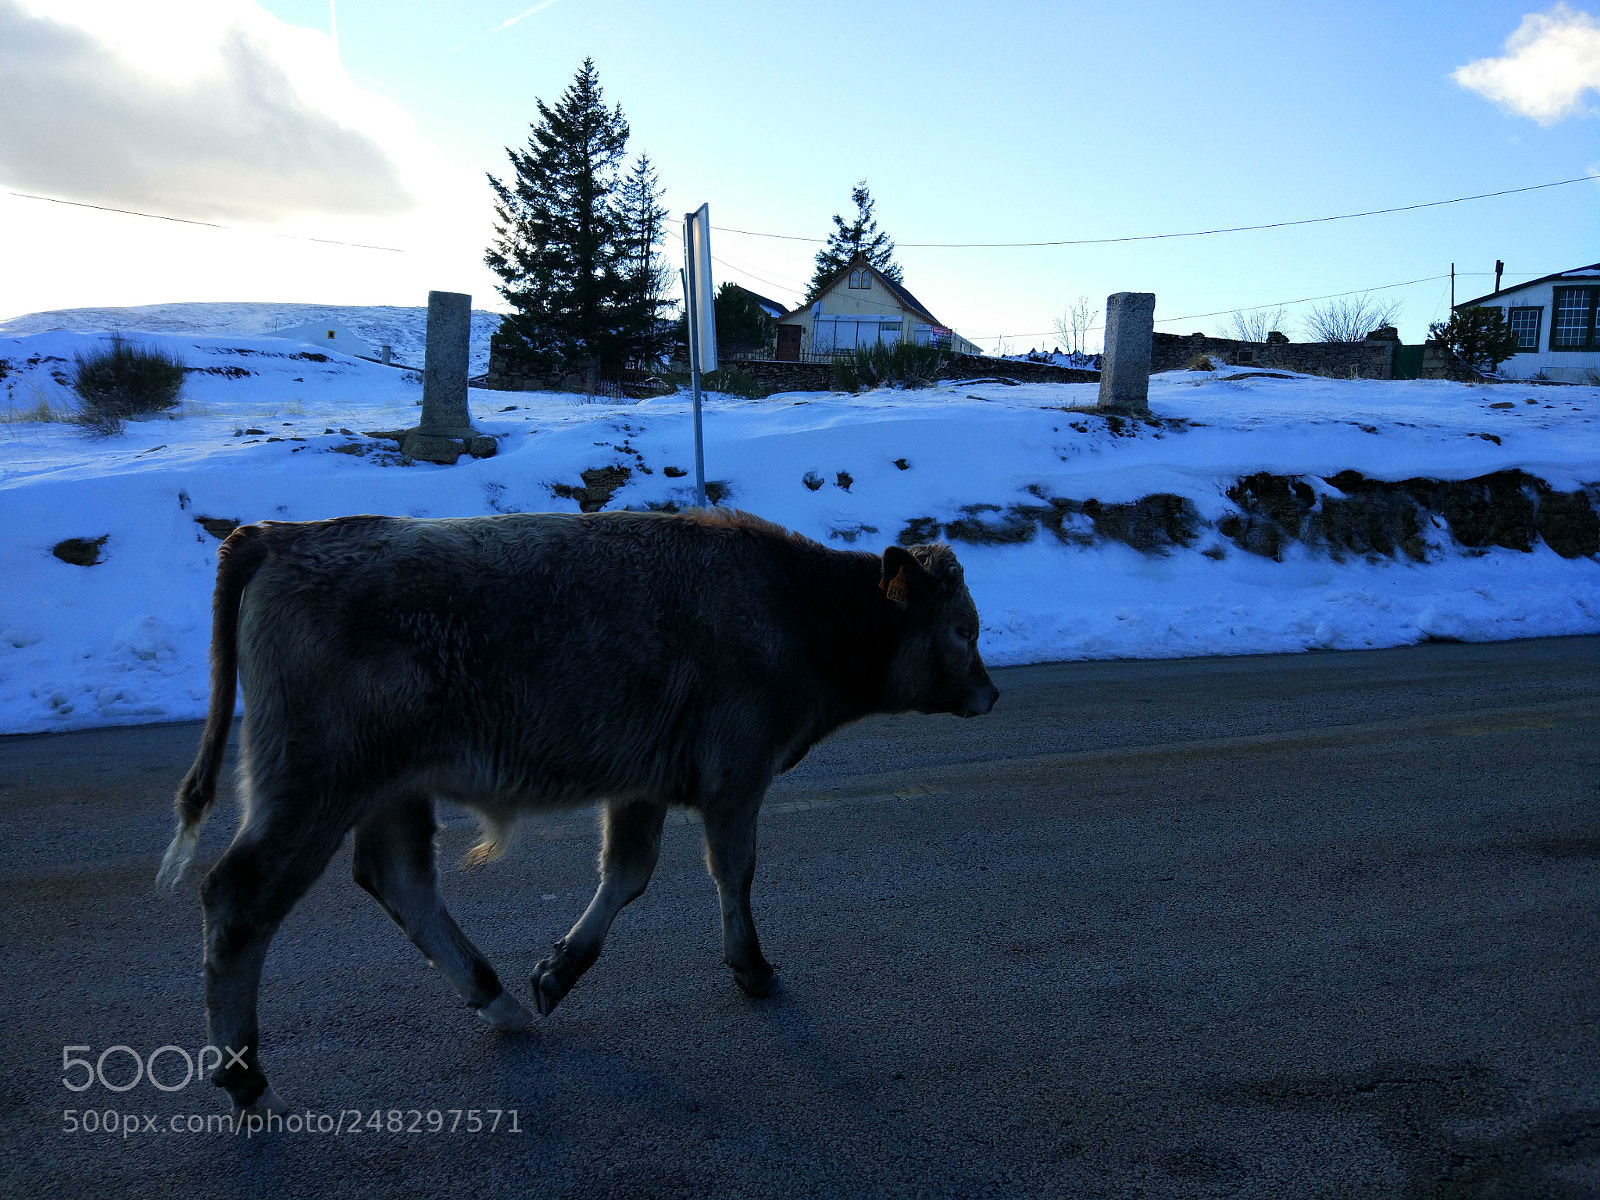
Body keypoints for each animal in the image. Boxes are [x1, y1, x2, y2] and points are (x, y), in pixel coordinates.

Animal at [157, 508, 999, 1114]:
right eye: (964, 628)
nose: (991, 693)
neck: (795, 605)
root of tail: (278, 533)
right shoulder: (735, 773)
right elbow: (734, 871)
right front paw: (752, 967)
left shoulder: (644, 783)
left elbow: (627, 873)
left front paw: (557, 971)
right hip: (314, 786)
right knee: (238, 900)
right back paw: (245, 1075)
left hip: (389, 790)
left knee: (398, 880)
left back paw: (497, 1000)